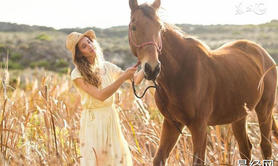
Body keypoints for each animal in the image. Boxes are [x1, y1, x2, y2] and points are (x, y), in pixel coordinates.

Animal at [129, 0, 278, 165]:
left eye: (160, 27)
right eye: (133, 26)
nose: (152, 68)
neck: (180, 74)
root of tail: (263, 53)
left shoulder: (199, 127)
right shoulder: (171, 123)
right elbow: (159, 159)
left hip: (264, 109)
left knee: (266, 147)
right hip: (239, 115)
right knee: (245, 149)